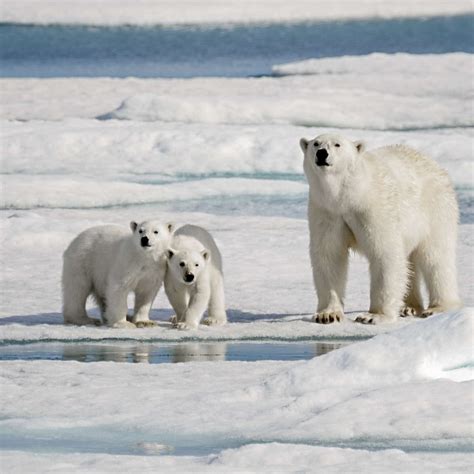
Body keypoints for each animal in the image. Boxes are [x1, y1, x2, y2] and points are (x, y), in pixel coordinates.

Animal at [302, 135, 462, 324]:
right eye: (315, 143)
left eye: (337, 144)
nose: (322, 153)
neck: (349, 195)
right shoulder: (327, 212)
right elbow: (329, 256)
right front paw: (327, 314)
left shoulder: (373, 208)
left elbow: (385, 253)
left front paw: (372, 316)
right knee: (410, 262)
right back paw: (409, 307)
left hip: (435, 209)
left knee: (436, 258)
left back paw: (437, 308)